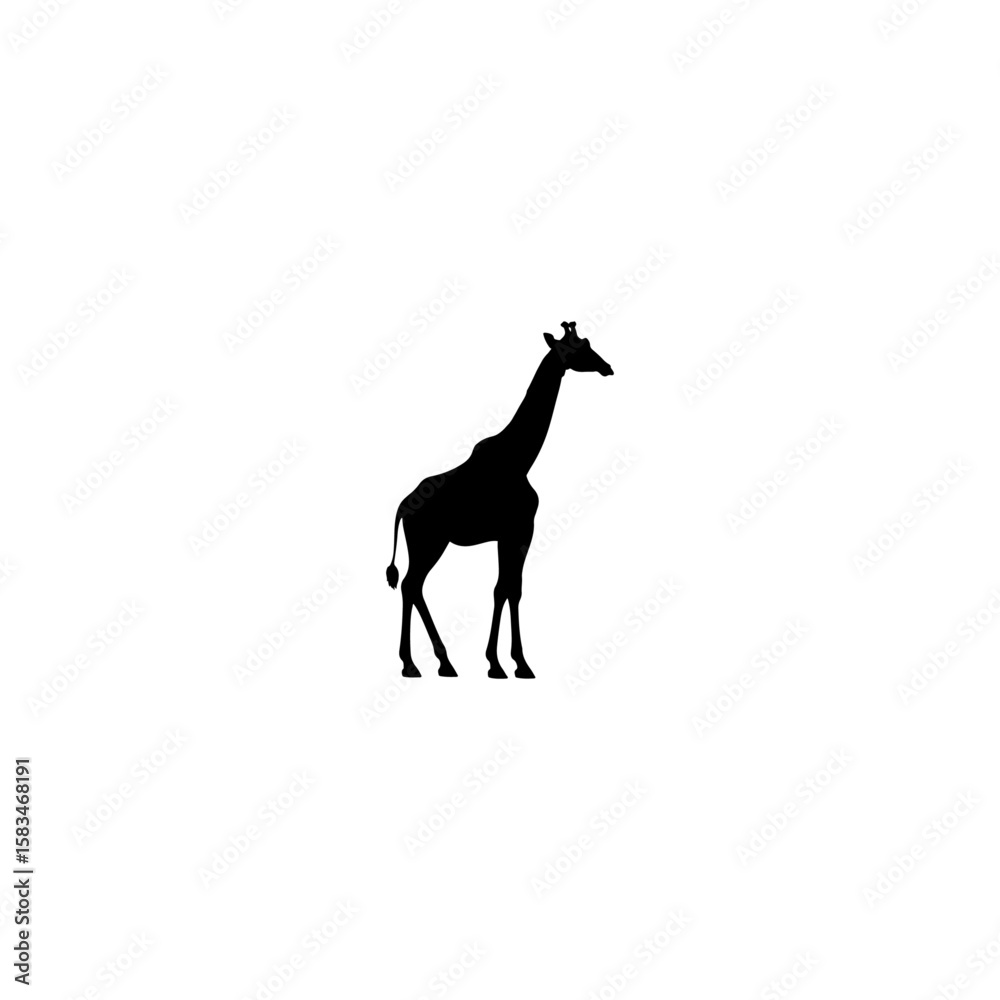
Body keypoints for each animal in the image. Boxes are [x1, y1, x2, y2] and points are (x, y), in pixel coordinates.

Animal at [386, 321, 614, 679]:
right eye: (578, 348)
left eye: (587, 343)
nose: (607, 367)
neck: (521, 458)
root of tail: (401, 509)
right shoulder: (520, 530)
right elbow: (510, 588)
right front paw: (513, 664)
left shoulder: (508, 534)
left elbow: (504, 588)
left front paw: (501, 662)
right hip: (429, 542)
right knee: (412, 585)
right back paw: (416, 664)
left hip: (428, 543)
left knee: (414, 586)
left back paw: (439, 663)